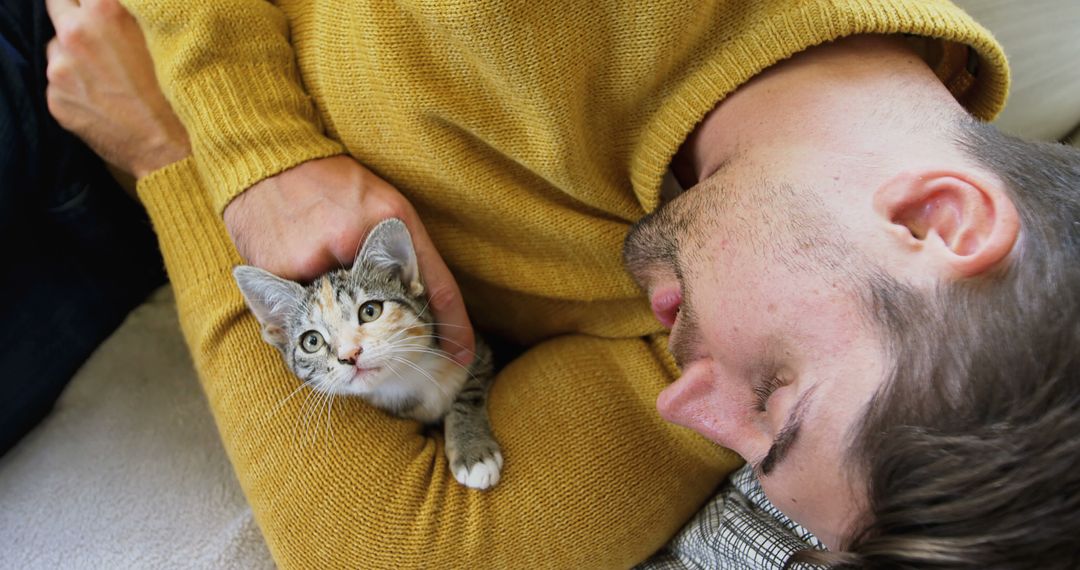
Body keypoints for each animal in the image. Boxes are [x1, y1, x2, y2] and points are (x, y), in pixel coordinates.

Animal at [232, 218, 501, 490]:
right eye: (312, 341)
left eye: (370, 311)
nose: (350, 354)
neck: (406, 378)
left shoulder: (473, 348)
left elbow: (469, 393)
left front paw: (473, 451)